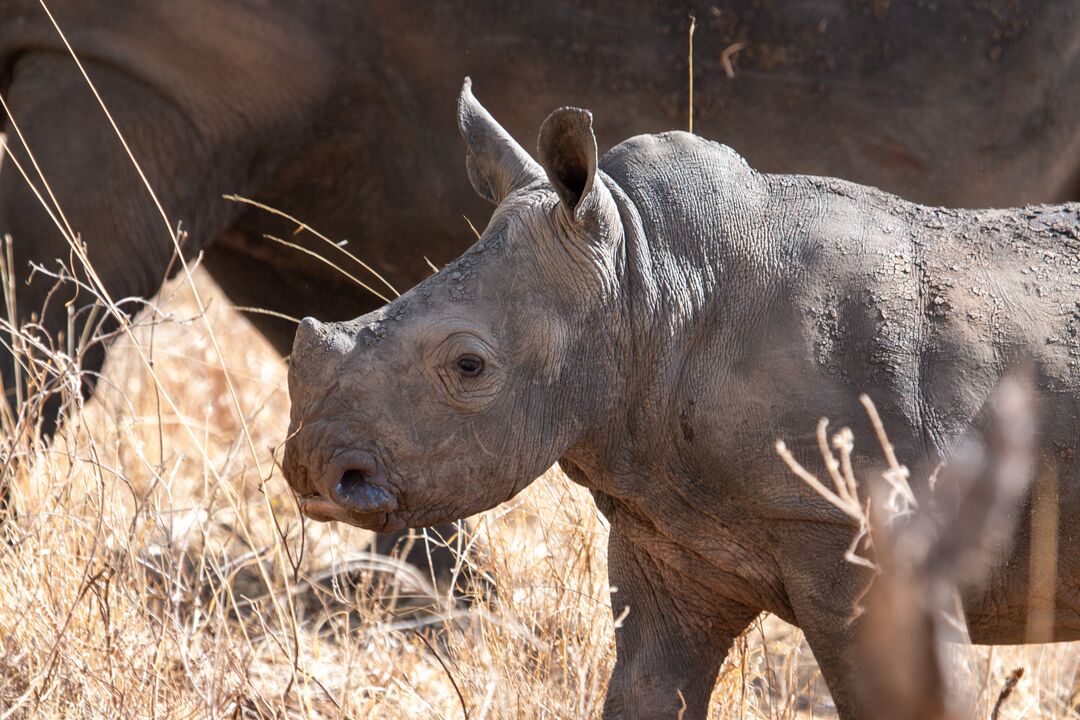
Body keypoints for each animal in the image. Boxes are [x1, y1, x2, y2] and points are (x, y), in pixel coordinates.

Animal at [285, 81, 1080, 716]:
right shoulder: (669, 524)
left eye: (470, 366)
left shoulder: (852, 522)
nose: (313, 473)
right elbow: (644, 687)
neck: (651, 279)